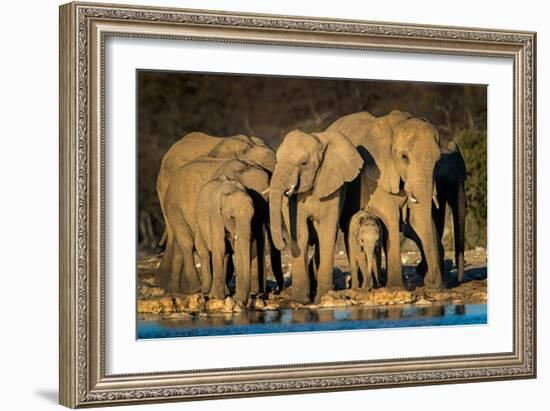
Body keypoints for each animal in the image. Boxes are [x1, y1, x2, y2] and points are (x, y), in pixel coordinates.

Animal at [270, 130, 364, 304]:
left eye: (304, 163)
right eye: (276, 161)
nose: (284, 242)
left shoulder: (333, 191)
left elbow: (326, 232)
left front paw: (323, 298)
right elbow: (301, 234)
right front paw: (300, 301)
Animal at [328, 110, 444, 290]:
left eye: (438, 161)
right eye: (404, 157)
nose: (432, 283)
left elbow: (416, 219)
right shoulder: (376, 175)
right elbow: (390, 218)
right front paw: (396, 287)